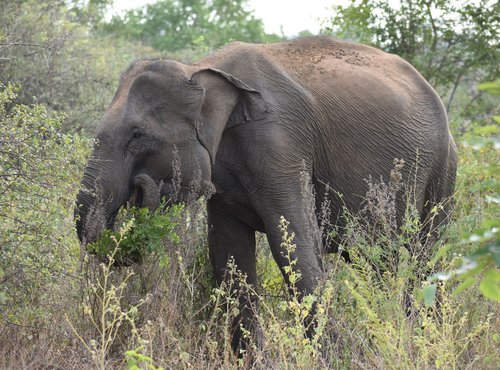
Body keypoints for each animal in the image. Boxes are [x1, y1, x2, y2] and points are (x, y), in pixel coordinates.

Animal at [75, 36, 458, 352]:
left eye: (137, 135)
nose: (143, 189)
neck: (200, 69)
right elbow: (229, 255)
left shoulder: (280, 145)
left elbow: (294, 246)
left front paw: (333, 357)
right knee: (381, 261)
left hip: (442, 172)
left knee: (424, 260)